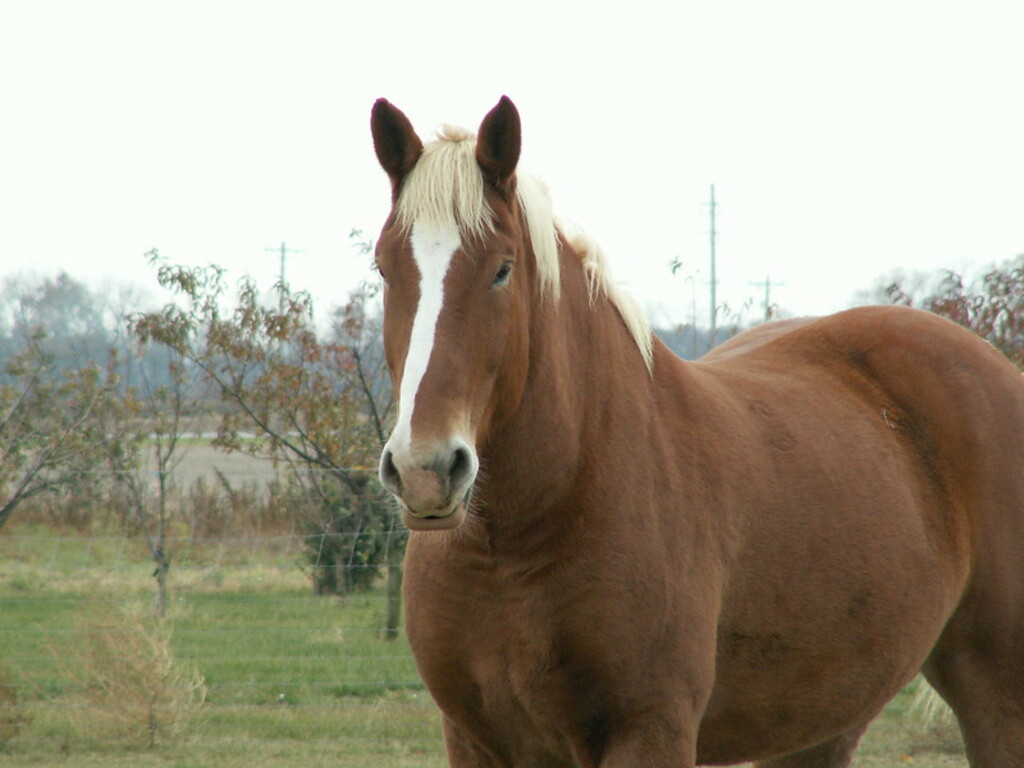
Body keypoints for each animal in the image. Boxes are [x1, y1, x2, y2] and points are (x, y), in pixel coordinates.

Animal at [368, 96, 1024, 767]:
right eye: (385, 269)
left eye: (502, 270)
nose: (425, 470)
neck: (517, 545)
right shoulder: (474, 738)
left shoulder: (650, 730)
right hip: (825, 715)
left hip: (997, 694)